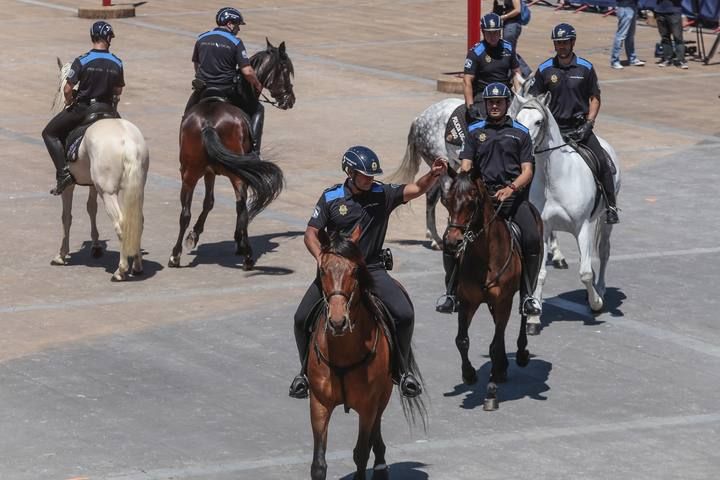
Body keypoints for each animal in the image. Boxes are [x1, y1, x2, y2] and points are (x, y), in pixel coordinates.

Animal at [51, 58, 149, 282]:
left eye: (60, 88)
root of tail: (128, 143)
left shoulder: (69, 187)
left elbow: (66, 217)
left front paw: (61, 254)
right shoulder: (92, 185)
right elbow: (91, 208)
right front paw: (95, 246)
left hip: (109, 192)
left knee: (121, 223)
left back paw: (121, 270)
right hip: (136, 188)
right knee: (137, 221)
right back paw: (137, 265)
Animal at [167, 39, 294, 270]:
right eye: (286, 70)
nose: (290, 99)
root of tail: (208, 123)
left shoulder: (209, 172)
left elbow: (208, 202)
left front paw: (194, 235)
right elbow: (229, 206)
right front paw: (237, 241)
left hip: (189, 173)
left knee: (184, 212)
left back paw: (175, 255)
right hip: (237, 175)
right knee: (242, 209)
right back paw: (247, 254)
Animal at [306, 227, 424, 478]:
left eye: (354, 270)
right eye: (323, 270)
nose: (338, 322)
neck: (342, 351)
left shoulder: (368, 404)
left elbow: (360, 453)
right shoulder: (319, 404)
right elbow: (318, 464)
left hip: (384, 394)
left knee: (374, 431)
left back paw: (380, 465)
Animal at [444, 171, 536, 410]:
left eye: (471, 203)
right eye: (447, 201)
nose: (452, 242)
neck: (484, 257)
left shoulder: (504, 300)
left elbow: (493, 346)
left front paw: (491, 392)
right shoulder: (467, 301)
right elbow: (462, 340)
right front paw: (469, 375)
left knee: (522, 315)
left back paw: (520, 354)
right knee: (498, 326)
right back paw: (502, 367)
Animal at [510, 92, 620, 320]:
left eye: (538, 121)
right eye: (518, 119)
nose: (522, 145)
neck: (554, 178)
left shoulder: (583, 227)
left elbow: (585, 273)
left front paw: (596, 303)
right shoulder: (543, 229)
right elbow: (540, 273)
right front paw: (534, 315)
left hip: (604, 220)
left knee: (604, 251)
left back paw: (600, 289)